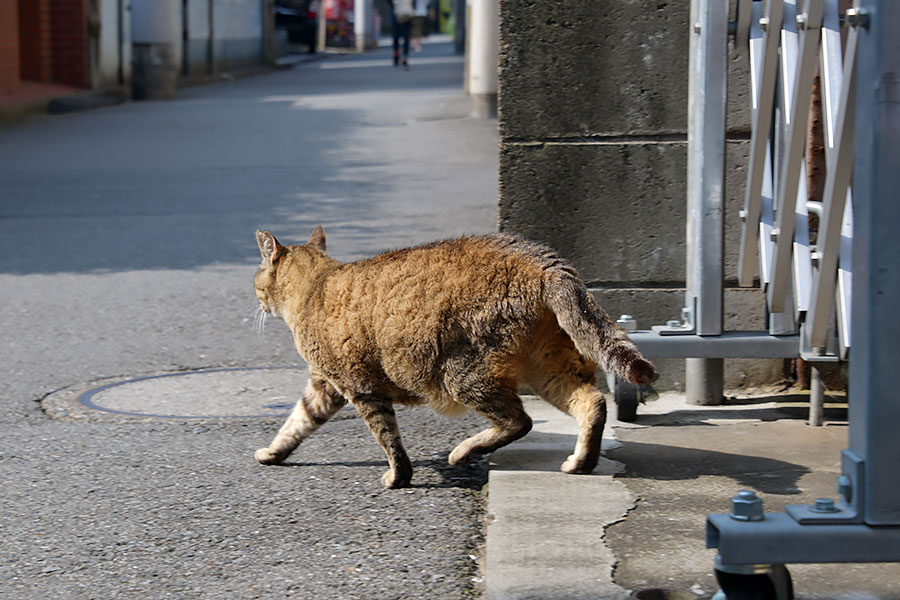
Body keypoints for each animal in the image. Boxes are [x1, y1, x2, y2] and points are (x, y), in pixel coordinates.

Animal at [253, 225, 652, 488]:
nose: (257, 299)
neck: (315, 286)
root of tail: (543, 262)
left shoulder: (361, 388)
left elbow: (388, 439)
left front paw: (399, 477)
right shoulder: (326, 385)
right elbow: (297, 422)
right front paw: (272, 453)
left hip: (463, 373)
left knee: (519, 421)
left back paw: (463, 452)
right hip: (551, 367)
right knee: (592, 403)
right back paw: (581, 462)